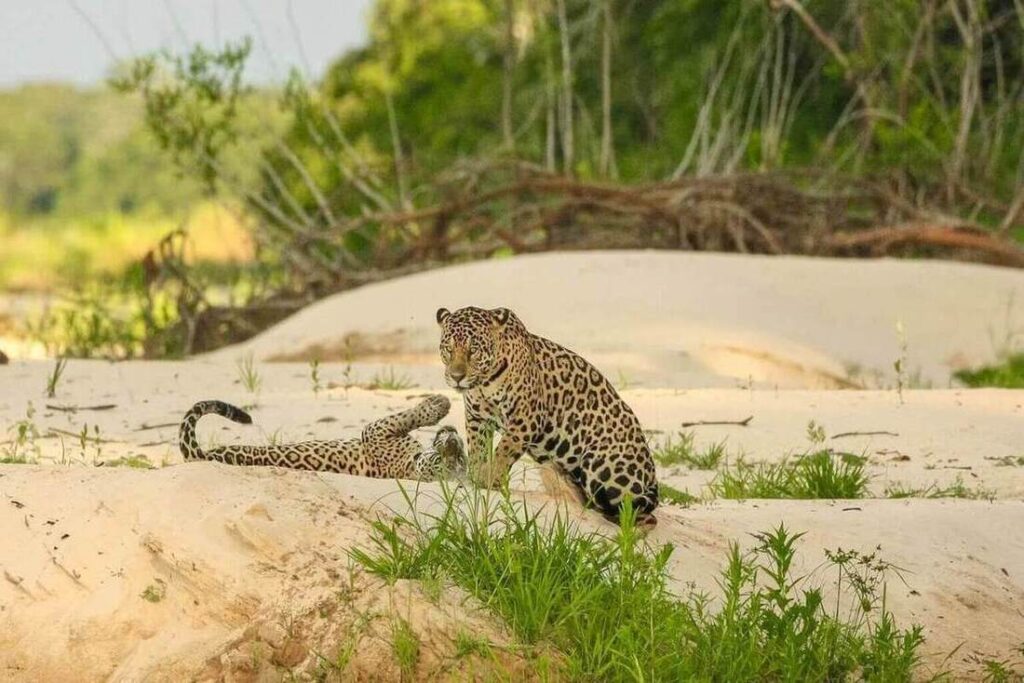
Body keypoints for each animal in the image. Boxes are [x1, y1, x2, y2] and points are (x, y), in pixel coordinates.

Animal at [178, 394, 466, 480]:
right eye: (459, 458)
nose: (452, 441)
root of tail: (199, 455)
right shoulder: (378, 432)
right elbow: (409, 416)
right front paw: (441, 404)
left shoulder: (376, 431)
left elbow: (408, 415)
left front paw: (439, 404)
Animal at [436, 306, 659, 526]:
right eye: (448, 349)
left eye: (473, 350)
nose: (456, 377)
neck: (484, 383)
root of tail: (652, 477)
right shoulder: (477, 418)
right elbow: (477, 450)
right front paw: (477, 478)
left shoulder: (526, 417)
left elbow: (504, 450)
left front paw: (490, 479)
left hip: (599, 465)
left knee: (640, 512)